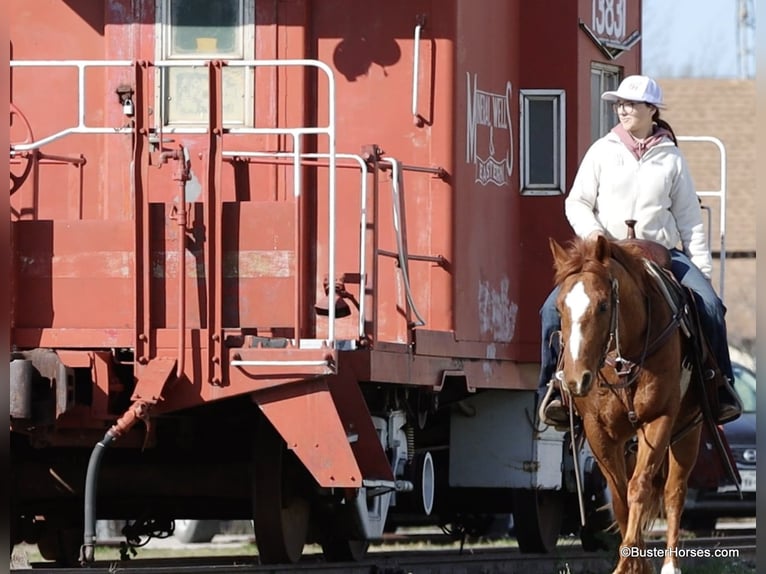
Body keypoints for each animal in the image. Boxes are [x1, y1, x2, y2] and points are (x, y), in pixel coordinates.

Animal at [549, 235, 702, 574]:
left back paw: (671, 565)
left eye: (603, 305)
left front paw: (630, 563)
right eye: (559, 307)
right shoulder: (598, 432)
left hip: (689, 429)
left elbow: (639, 488)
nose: (575, 379)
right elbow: (619, 496)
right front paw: (635, 563)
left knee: (674, 492)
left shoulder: (659, 420)